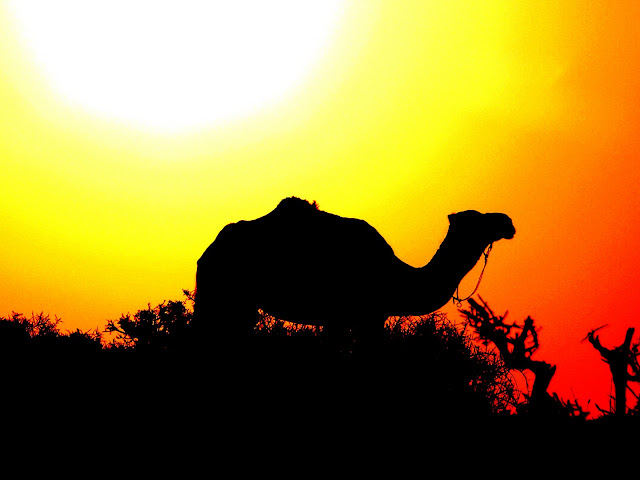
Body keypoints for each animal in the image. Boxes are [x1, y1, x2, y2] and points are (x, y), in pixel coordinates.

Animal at [193, 197, 515, 342]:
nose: (507, 221)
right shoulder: (361, 317)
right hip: (222, 292)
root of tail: (208, 250)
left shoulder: (350, 319)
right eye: (477, 219)